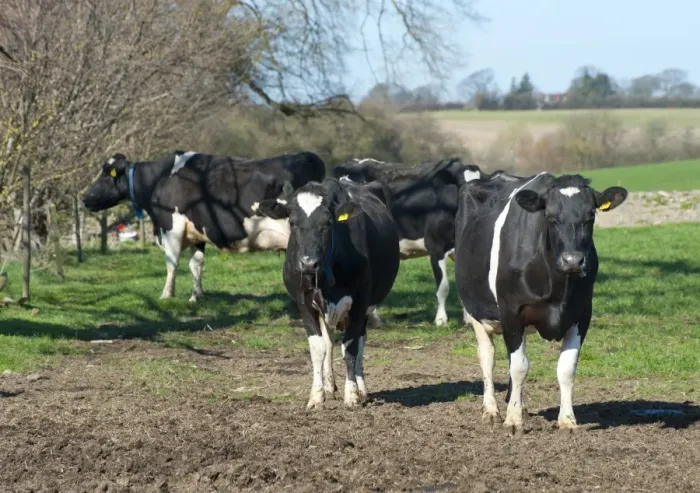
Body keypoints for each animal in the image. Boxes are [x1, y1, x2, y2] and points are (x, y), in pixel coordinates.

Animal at [82, 150, 325, 301]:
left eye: (106, 174)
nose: (85, 198)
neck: (159, 179)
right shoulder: (196, 231)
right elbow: (195, 264)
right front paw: (196, 295)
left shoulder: (171, 226)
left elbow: (172, 263)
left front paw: (166, 295)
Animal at [255, 177, 400, 409]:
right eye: (292, 222)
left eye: (327, 223)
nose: (308, 263)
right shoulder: (304, 303)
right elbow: (318, 348)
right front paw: (316, 396)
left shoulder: (360, 301)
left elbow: (350, 347)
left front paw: (352, 395)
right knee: (329, 341)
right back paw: (330, 385)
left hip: (365, 307)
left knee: (360, 341)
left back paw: (362, 389)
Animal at [454, 172, 627, 435]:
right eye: (551, 217)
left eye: (591, 216)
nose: (573, 261)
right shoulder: (512, 311)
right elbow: (519, 367)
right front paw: (513, 421)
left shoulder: (582, 314)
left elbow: (566, 368)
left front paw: (567, 421)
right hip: (475, 310)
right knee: (487, 356)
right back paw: (492, 410)